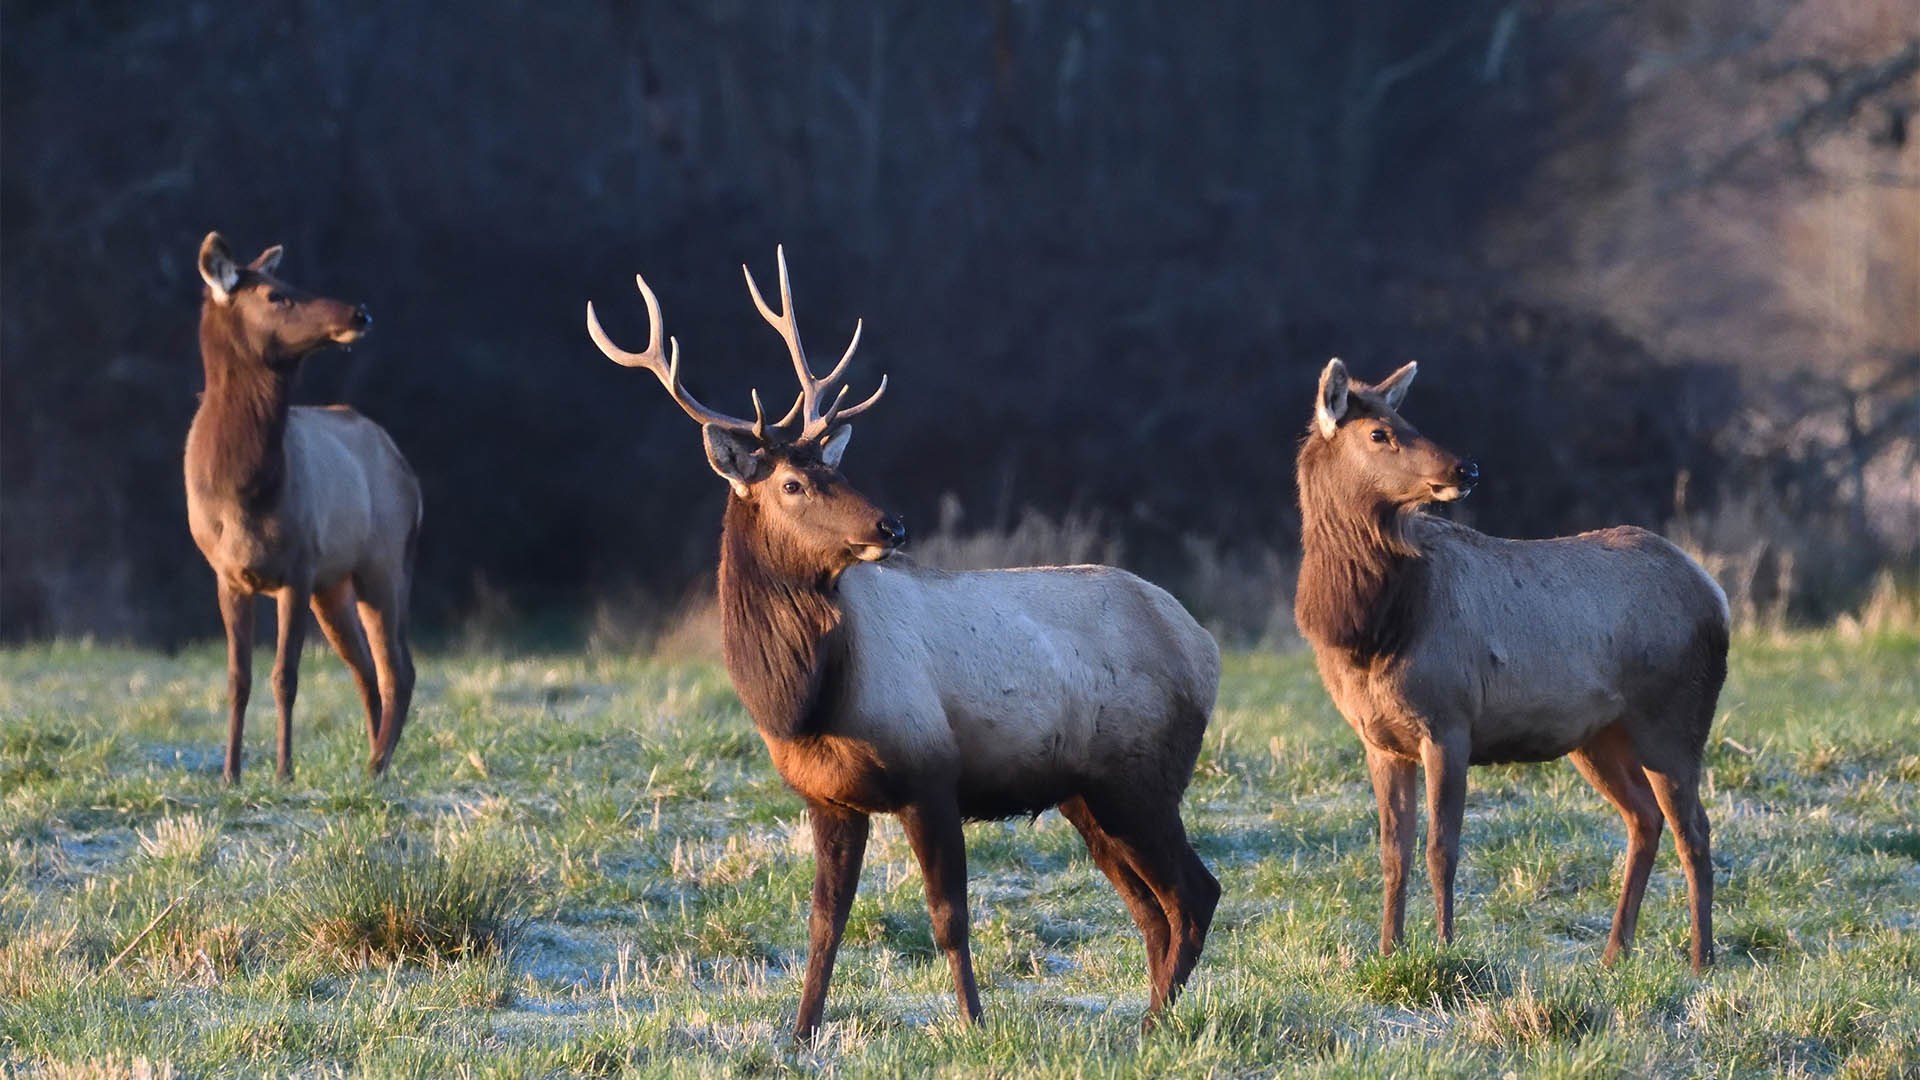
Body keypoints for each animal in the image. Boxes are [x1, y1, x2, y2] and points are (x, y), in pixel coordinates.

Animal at [185, 232, 421, 783]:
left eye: (291, 284)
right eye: (277, 295)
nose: (360, 311)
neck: (244, 493)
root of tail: (407, 470)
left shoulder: (297, 565)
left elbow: (285, 677)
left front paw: (283, 771)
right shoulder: (227, 574)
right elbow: (238, 677)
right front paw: (230, 774)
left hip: (384, 560)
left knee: (398, 668)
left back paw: (377, 764)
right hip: (333, 587)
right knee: (366, 669)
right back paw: (373, 760)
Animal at [588, 248, 1223, 1039]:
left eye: (838, 468)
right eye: (794, 482)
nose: (890, 525)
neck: (802, 702)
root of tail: (1203, 645)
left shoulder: (931, 774)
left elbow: (949, 918)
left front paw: (975, 1024)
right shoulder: (829, 797)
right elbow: (824, 922)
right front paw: (800, 1033)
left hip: (1139, 776)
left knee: (1194, 894)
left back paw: (1152, 1027)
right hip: (1088, 793)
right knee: (1154, 909)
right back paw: (1146, 1018)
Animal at [1294, 358, 1729, 972]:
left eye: (1407, 419)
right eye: (1379, 433)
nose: (1466, 466)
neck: (1372, 633)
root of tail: (1716, 593)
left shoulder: (1449, 721)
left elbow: (1441, 848)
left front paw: (1445, 948)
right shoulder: (1379, 739)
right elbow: (1392, 852)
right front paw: (1386, 951)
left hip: (1673, 719)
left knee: (1695, 829)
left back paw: (1700, 959)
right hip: (1599, 737)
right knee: (1645, 818)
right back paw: (1613, 952)